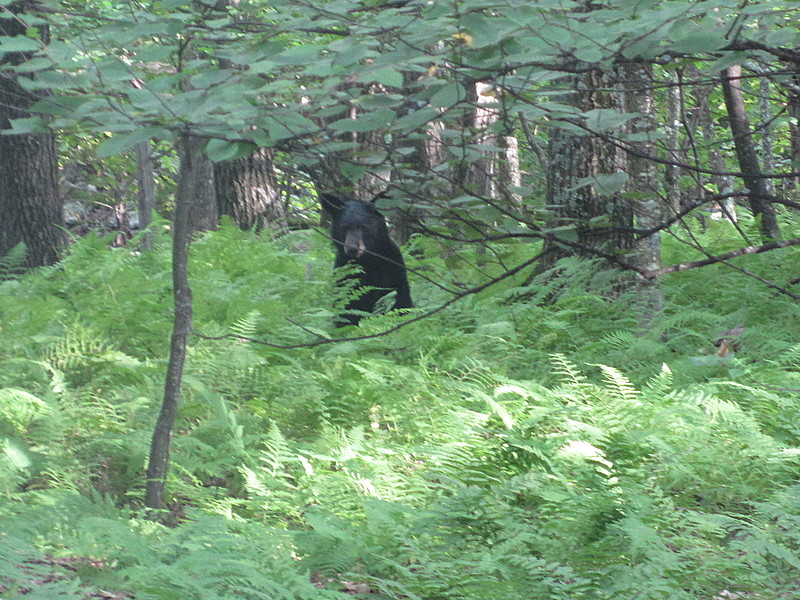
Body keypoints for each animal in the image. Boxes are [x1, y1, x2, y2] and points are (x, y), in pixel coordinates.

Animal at [318, 192, 412, 326]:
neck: (367, 261)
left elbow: (400, 301)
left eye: (364, 226)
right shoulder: (344, 273)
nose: (352, 248)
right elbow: (347, 310)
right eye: (344, 227)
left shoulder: (392, 269)